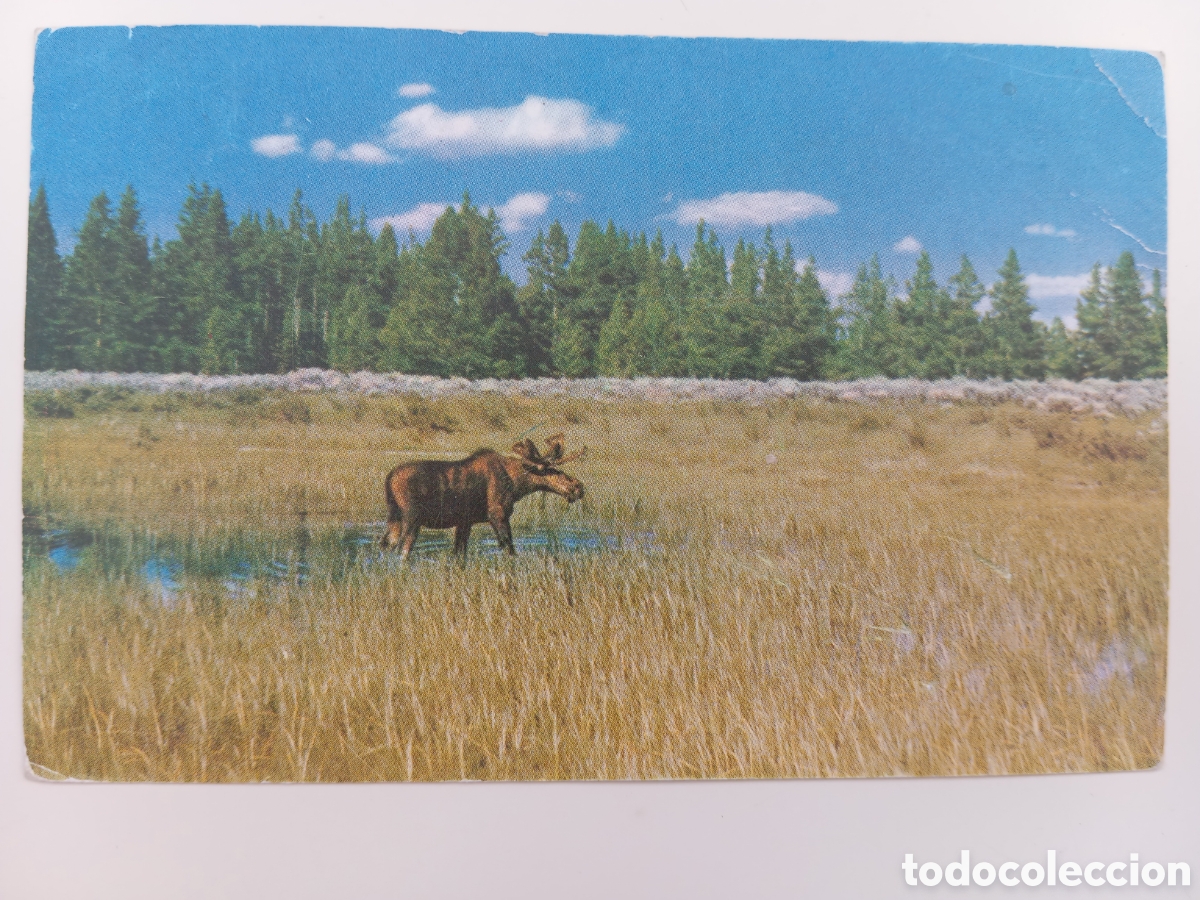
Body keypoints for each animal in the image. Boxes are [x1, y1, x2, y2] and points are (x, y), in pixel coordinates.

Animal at [380, 433, 586, 560]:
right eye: (553, 470)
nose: (578, 486)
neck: (517, 485)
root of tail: (389, 478)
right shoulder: (498, 514)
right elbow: (509, 549)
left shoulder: (465, 522)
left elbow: (459, 553)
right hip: (411, 518)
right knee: (400, 550)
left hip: (394, 518)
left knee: (386, 545)